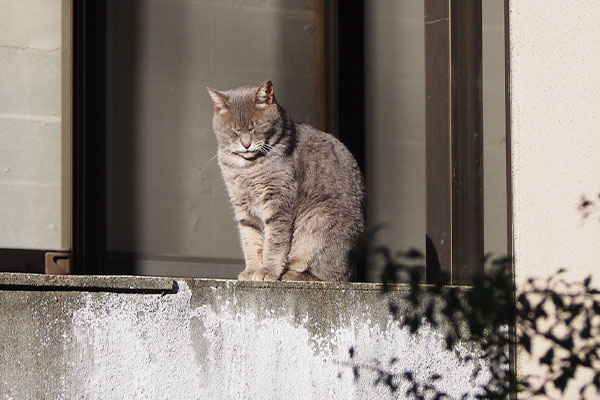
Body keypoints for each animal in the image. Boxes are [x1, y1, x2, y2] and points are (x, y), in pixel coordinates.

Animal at [206, 80, 366, 282]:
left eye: (256, 127)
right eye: (234, 131)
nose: (246, 144)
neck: (247, 168)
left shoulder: (279, 202)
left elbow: (274, 242)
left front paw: (267, 270)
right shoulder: (243, 205)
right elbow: (250, 239)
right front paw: (252, 270)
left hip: (316, 225)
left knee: (328, 274)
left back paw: (291, 273)